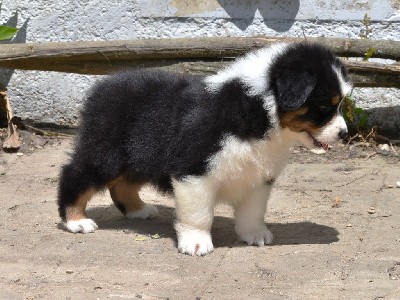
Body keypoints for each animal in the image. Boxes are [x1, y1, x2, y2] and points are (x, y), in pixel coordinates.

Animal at [57, 42, 352, 255]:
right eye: (324, 106)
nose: (344, 133)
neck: (254, 111)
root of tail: (103, 85)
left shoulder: (258, 176)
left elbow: (253, 211)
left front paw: (254, 235)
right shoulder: (194, 169)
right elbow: (198, 215)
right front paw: (196, 243)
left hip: (139, 154)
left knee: (122, 185)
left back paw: (138, 210)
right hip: (107, 151)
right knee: (76, 174)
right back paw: (76, 220)